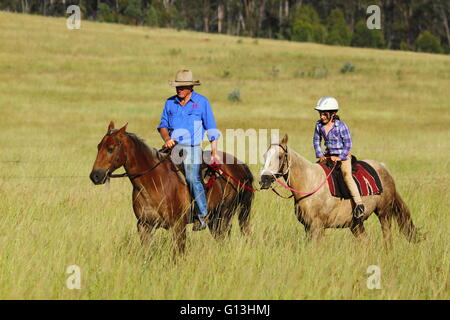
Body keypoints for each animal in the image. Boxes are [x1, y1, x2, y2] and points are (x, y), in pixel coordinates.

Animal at [89, 122, 255, 255]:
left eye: (111, 148)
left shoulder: (178, 226)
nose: (95, 176)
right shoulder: (144, 225)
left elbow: (178, 255)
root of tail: (240, 166)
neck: (154, 181)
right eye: (98, 146)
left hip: (223, 217)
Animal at [258, 134, 420, 246]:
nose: (263, 179)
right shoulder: (308, 227)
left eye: (279, 156)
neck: (310, 183)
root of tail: (383, 167)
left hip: (383, 213)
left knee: (387, 237)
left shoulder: (317, 227)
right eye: (265, 156)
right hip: (356, 224)